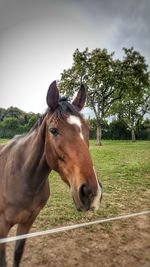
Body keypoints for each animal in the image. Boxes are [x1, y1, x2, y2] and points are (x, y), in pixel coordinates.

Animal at [0, 81, 102, 267]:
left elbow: (18, 253)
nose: (91, 192)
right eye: (53, 130)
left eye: (87, 129)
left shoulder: (27, 222)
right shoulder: (2, 228)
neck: (22, 178)